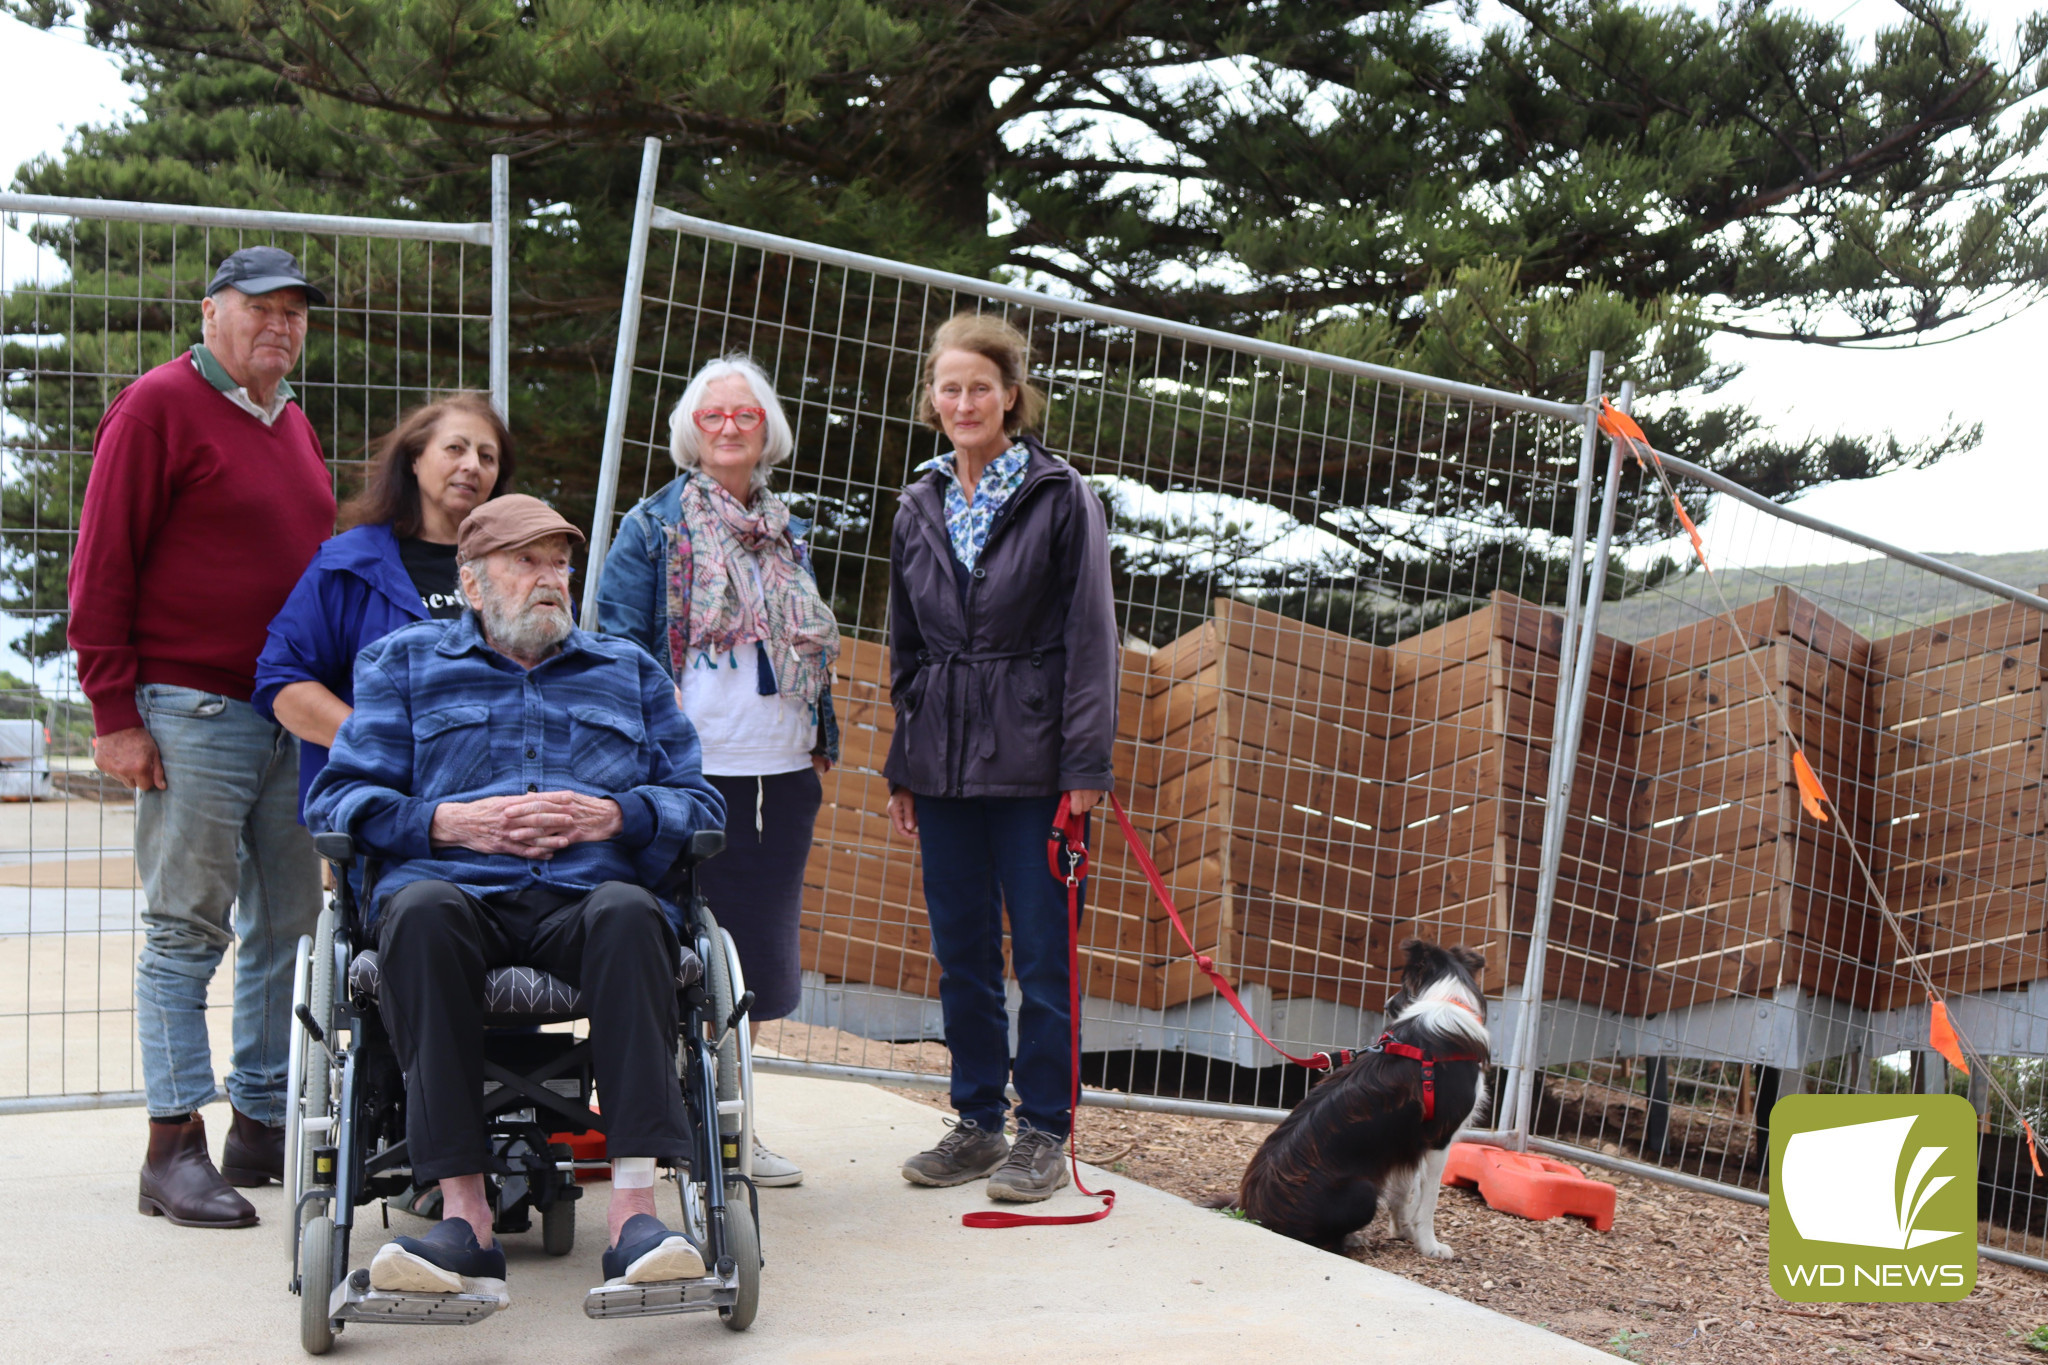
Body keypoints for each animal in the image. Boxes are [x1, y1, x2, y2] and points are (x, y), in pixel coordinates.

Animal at [1228, 945, 1490, 1252]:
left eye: (1403, 985)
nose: (1388, 1005)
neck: (1447, 998)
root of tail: (1252, 1213)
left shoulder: (1405, 1142)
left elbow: (1401, 1195)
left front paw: (1403, 1231)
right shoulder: (1439, 1139)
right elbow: (1428, 1201)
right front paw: (1430, 1246)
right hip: (1364, 1191)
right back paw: (1352, 1239)